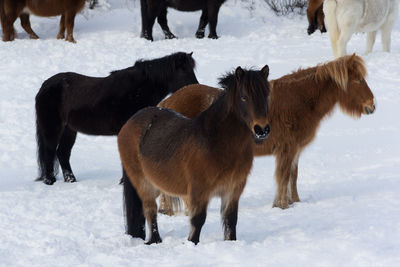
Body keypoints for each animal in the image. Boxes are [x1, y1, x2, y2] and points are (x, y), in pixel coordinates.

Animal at [35, 52, 198, 186]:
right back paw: (49, 180)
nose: (196, 87)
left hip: (69, 130)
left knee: (62, 153)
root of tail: (45, 86)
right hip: (53, 128)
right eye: (184, 71)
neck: (137, 91)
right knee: (50, 151)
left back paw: (71, 179)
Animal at [117, 65, 270, 245]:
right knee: (150, 210)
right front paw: (191, 243)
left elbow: (231, 220)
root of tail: (130, 122)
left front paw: (231, 242)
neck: (216, 143)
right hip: (142, 182)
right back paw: (155, 240)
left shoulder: (233, 190)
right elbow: (198, 220)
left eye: (267, 95)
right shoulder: (199, 191)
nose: (262, 129)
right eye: (243, 97)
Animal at [155, 55, 376, 216]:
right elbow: (283, 176)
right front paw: (281, 205)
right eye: (358, 79)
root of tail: (166, 104)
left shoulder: (294, 151)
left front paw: (294, 202)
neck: (298, 101)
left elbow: (293, 176)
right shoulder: (287, 151)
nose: (372, 105)